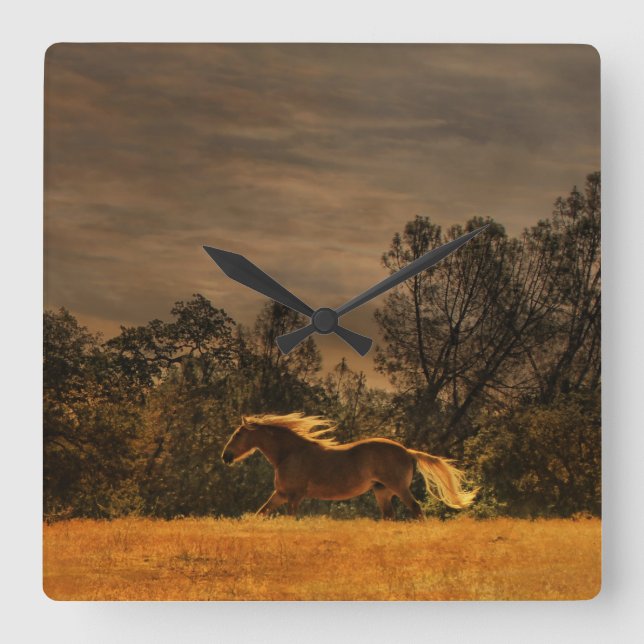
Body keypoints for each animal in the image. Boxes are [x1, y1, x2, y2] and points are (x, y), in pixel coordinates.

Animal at [221, 413, 478, 519]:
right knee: (389, 515)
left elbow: (290, 518)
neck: (289, 454)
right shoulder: (281, 494)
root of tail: (407, 451)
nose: (226, 456)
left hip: (398, 488)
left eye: (237, 434)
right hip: (382, 491)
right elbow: (260, 512)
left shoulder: (294, 496)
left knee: (415, 509)